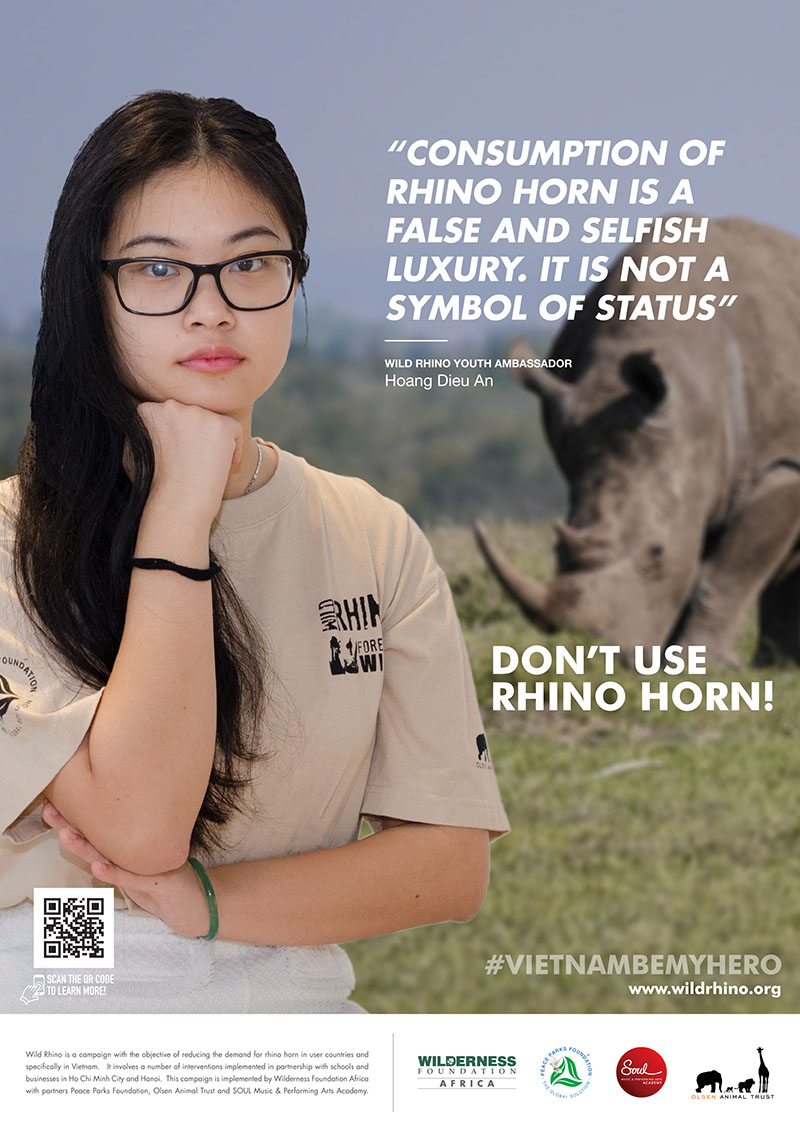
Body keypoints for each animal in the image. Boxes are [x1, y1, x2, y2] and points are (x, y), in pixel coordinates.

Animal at [476, 217, 800, 664]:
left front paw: (702, 663)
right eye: (557, 552)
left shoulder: (781, 463)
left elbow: (727, 573)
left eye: (657, 553)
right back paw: (777, 665)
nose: (595, 654)